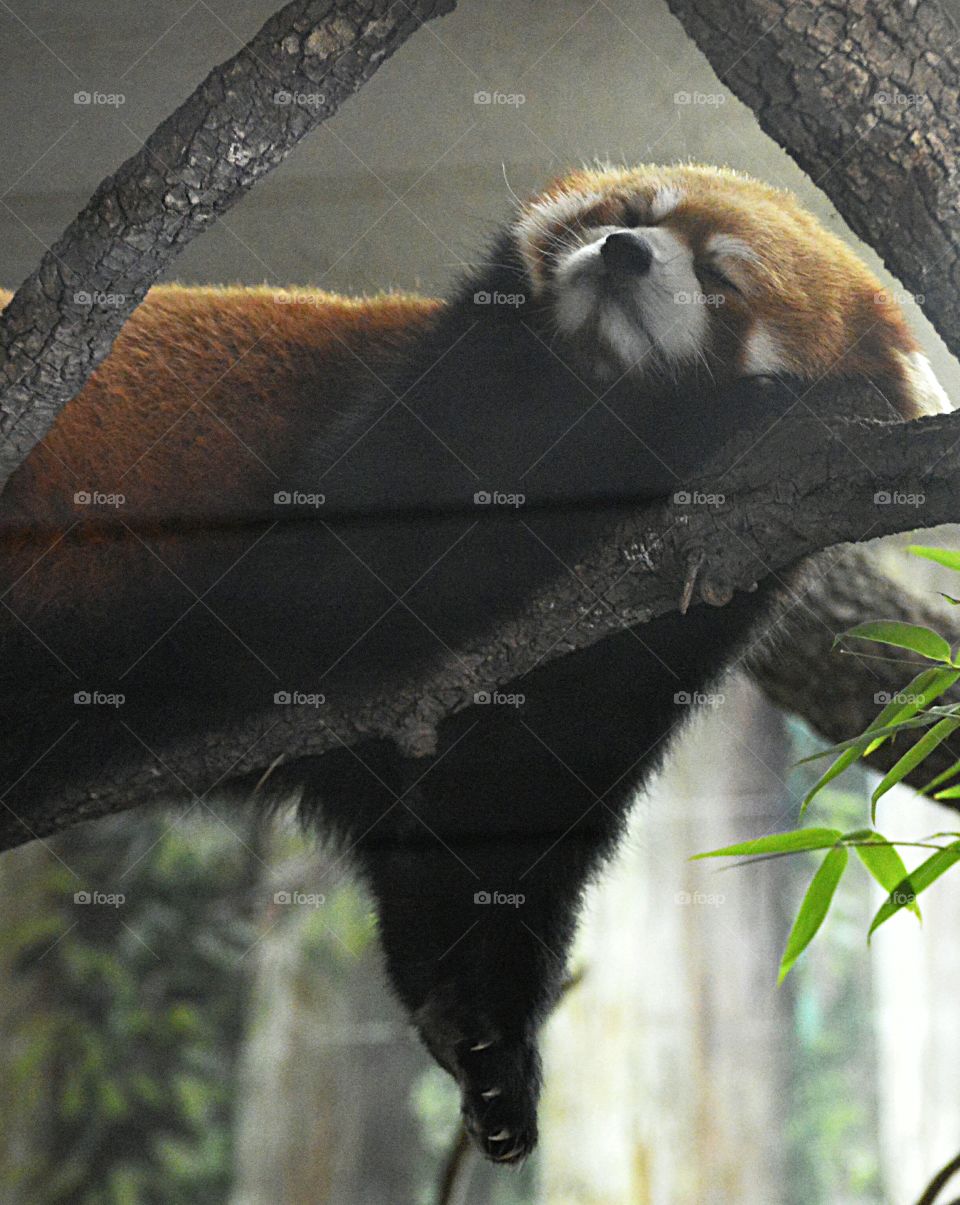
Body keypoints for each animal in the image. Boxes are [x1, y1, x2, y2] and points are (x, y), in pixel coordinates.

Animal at [0, 163, 947, 1162]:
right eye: (631, 212)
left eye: (722, 279)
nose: (623, 252)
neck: (588, 380)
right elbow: (359, 576)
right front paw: (730, 414)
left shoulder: (626, 652)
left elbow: (494, 818)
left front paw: (489, 1045)